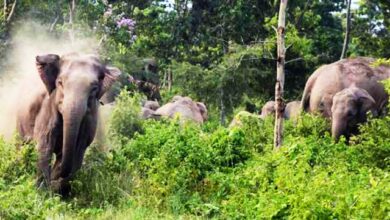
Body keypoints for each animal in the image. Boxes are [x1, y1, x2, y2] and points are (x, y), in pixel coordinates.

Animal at [15, 52, 120, 194]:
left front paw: (56, 188)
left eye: (94, 88)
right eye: (60, 83)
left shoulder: (90, 118)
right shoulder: (48, 107)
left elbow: (78, 150)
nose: (54, 179)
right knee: (21, 145)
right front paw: (43, 192)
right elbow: (45, 145)